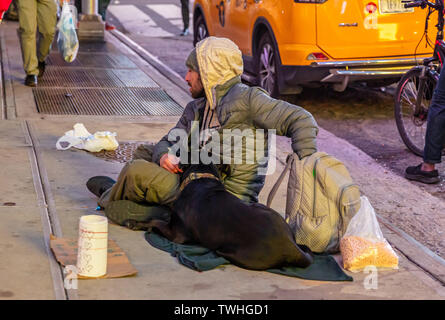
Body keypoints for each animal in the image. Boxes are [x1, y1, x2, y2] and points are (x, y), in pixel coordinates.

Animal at [147, 164, 314, 272]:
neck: (201, 178)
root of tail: (290, 246)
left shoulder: (177, 234)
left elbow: (155, 221)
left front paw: (142, 223)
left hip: (239, 254)